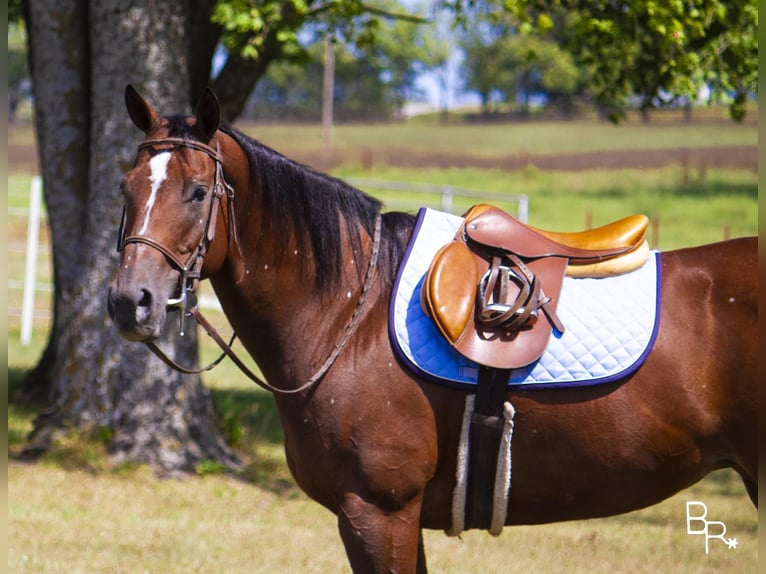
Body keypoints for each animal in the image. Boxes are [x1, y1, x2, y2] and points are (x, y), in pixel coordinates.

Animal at [108, 86, 760, 574]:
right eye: (126, 188)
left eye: (197, 192)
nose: (129, 302)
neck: (353, 316)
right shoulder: (395, 518)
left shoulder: (378, 513)